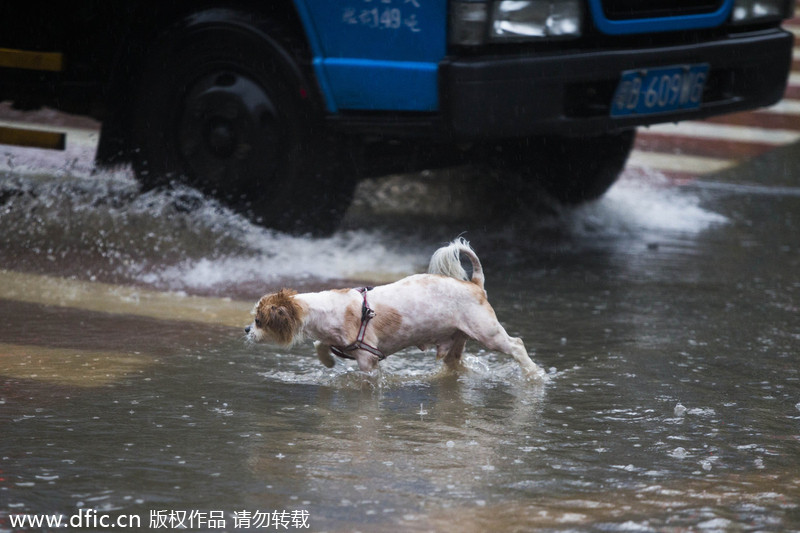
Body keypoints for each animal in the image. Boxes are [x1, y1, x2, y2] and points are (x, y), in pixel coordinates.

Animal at [244, 237, 544, 378]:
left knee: (516, 345)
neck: (325, 310)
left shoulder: (368, 358)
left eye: (258, 320)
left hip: (487, 332)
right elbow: (320, 344)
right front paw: (327, 360)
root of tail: (474, 284)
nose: (246, 329)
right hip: (456, 343)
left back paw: (533, 373)